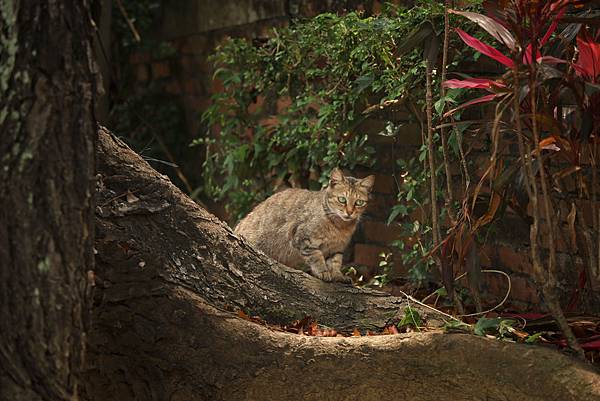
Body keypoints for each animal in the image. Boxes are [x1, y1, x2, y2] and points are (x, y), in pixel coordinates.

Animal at [236, 167, 372, 282]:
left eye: (359, 202)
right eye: (342, 199)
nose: (349, 212)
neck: (339, 226)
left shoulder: (336, 248)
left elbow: (335, 262)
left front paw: (338, 275)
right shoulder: (303, 240)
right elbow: (316, 256)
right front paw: (322, 272)